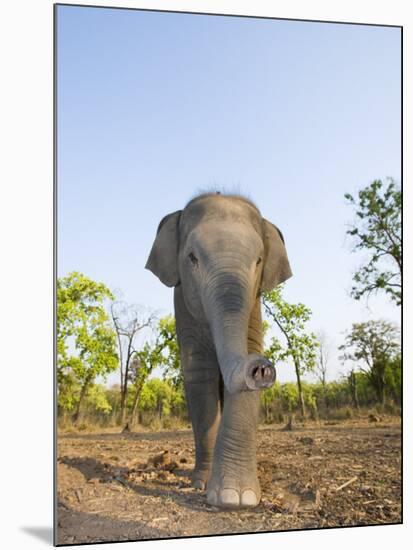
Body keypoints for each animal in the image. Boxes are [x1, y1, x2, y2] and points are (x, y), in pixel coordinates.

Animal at [144, 195, 290, 512]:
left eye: (258, 261)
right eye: (192, 258)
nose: (262, 367)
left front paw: (237, 498)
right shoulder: (183, 303)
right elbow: (199, 376)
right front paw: (203, 485)